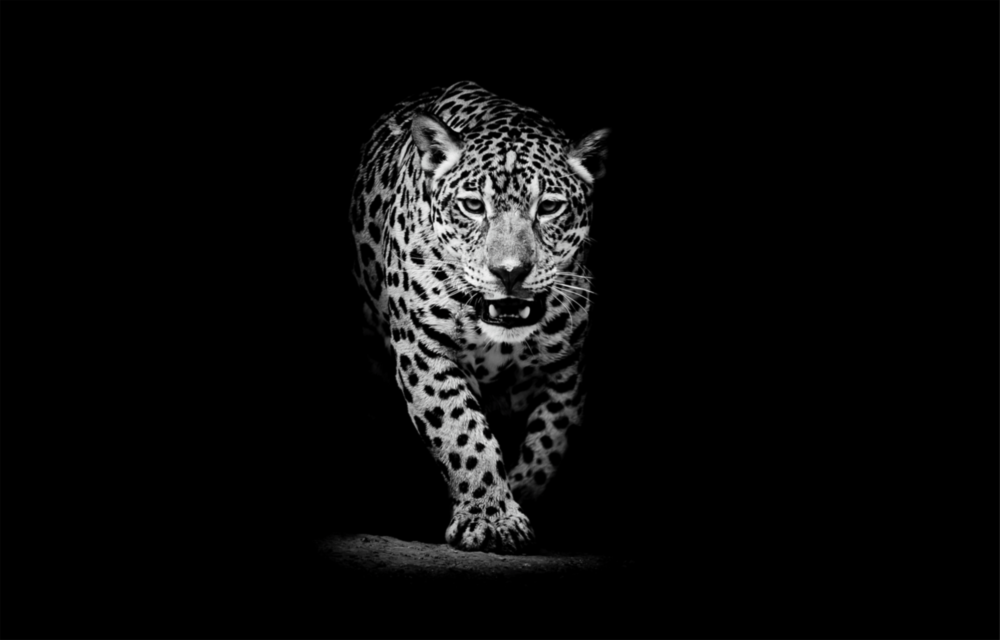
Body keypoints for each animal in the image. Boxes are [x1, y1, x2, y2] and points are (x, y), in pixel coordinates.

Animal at [349, 80, 609, 554]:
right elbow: (463, 434)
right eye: (472, 205)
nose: (509, 272)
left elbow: (549, 444)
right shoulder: (425, 352)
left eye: (549, 207)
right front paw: (490, 518)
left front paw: (518, 498)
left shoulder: (567, 370)